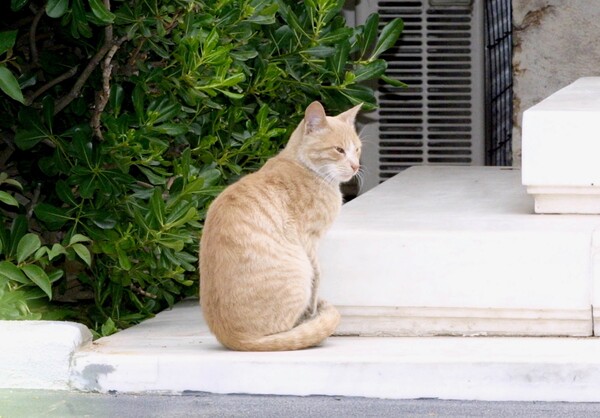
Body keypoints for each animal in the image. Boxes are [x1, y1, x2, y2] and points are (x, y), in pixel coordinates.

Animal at [200, 101, 360, 350]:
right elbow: (317, 277)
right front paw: (313, 314)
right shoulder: (309, 241)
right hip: (299, 268)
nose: (355, 166)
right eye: (339, 150)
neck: (302, 165)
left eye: (357, 149)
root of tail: (234, 338)